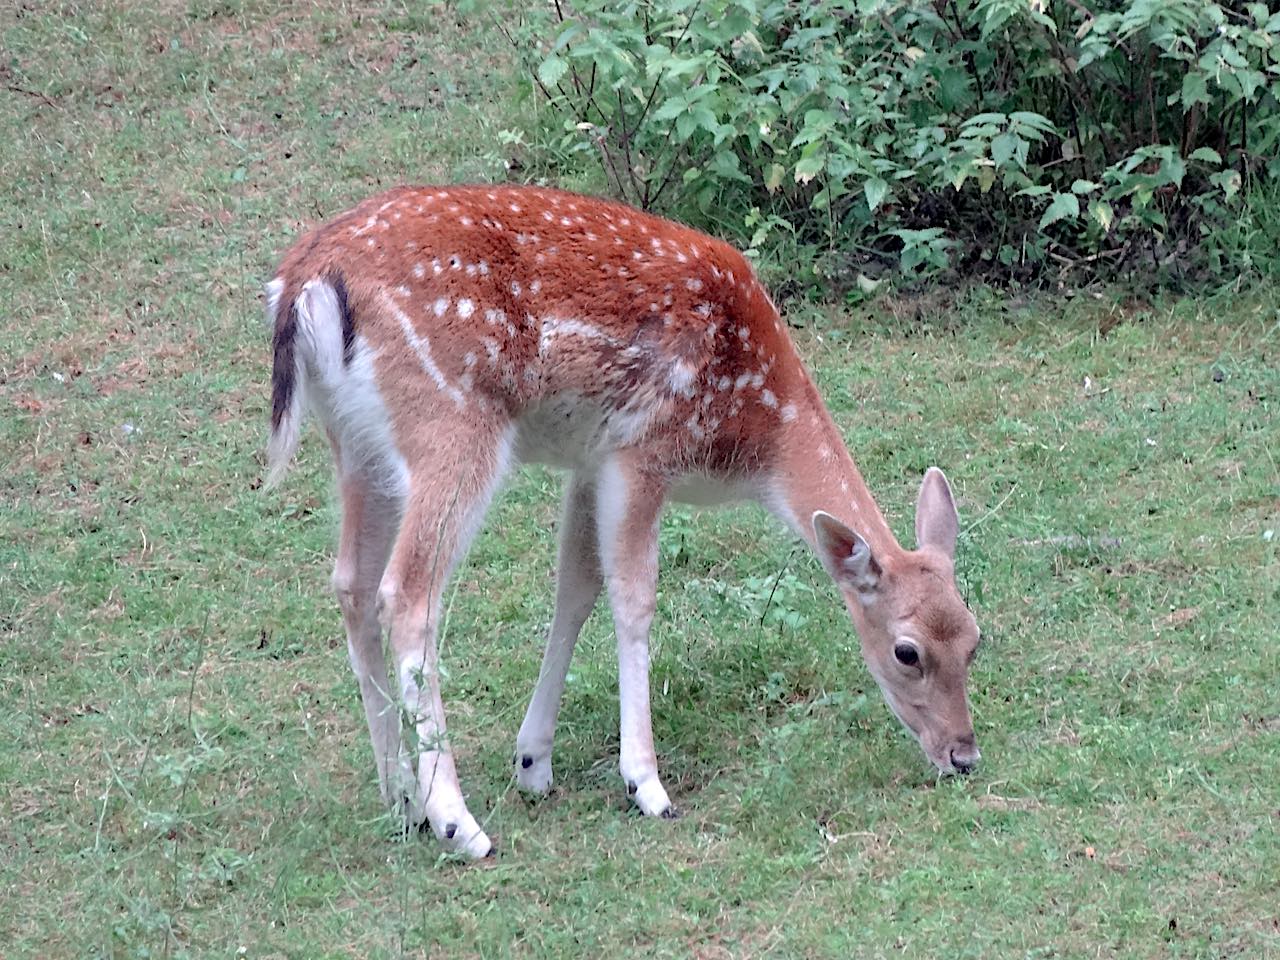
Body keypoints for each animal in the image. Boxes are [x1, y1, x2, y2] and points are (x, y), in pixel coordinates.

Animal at [264, 184, 983, 860]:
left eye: (975, 638)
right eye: (907, 651)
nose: (964, 754)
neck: (756, 431)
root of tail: (303, 282)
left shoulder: (591, 461)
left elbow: (576, 589)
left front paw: (534, 763)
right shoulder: (643, 451)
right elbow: (634, 601)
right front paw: (645, 784)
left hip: (358, 445)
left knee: (352, 584)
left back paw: (401, 797)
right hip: (451, 423)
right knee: (408, 594)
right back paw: (456, 822)